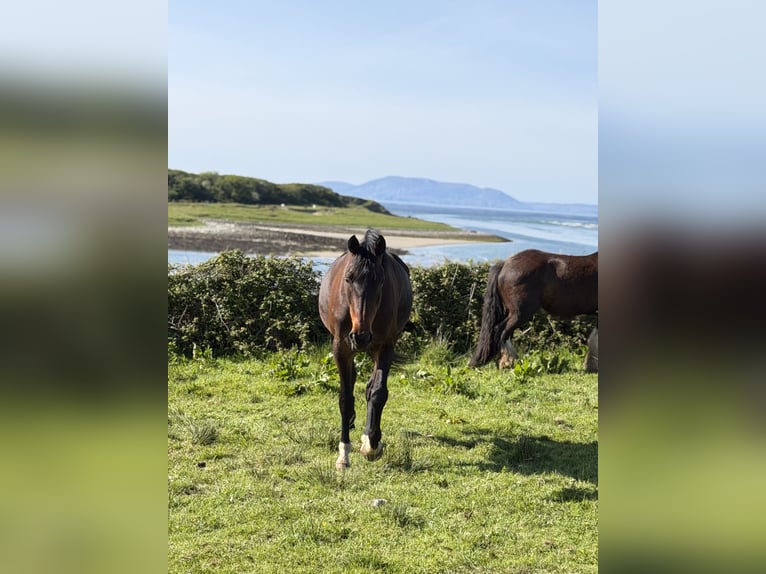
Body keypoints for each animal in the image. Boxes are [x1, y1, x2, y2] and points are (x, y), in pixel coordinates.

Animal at [318, 229, 413, 468]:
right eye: (348, 278)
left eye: (380, 281)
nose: (360, 336)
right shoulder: (341, 347)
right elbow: (345, 397)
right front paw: (343, 454)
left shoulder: (385, 346)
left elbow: (377, 393)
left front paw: (372, 445)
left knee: (370, 388)